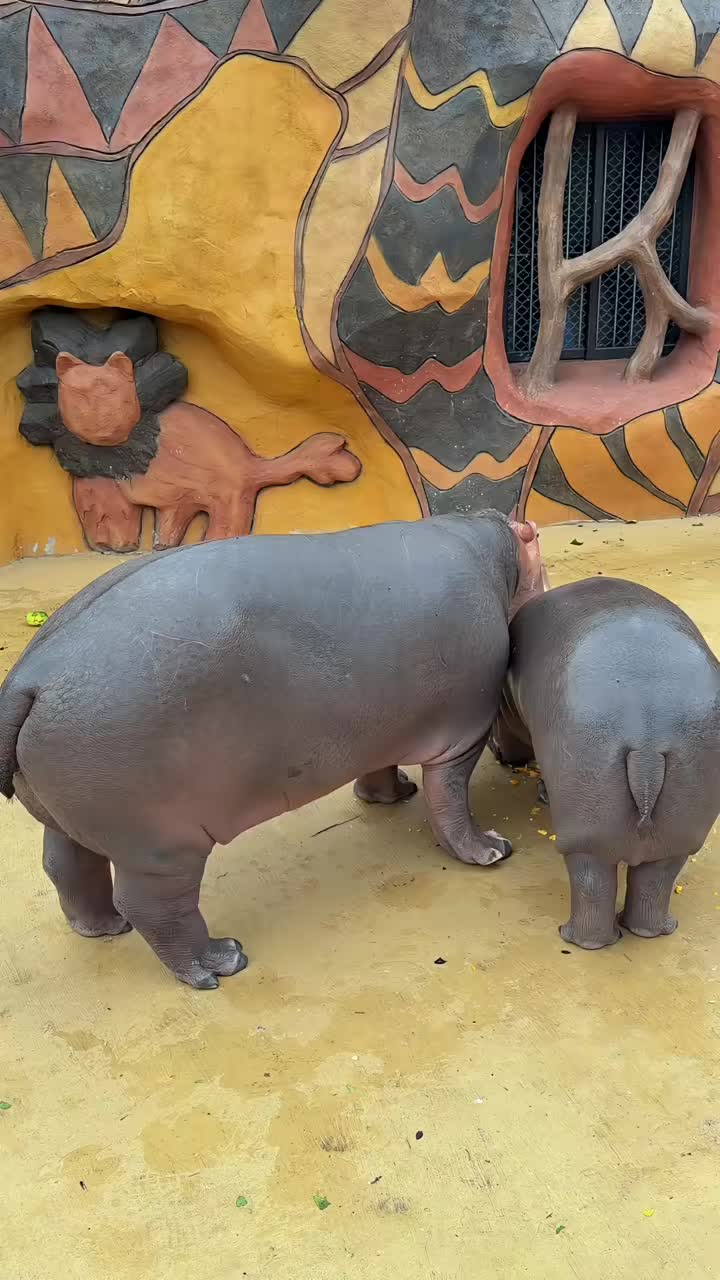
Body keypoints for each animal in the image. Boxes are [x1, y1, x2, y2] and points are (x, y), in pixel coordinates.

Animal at [0, 512, 545, 988]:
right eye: (537, 543)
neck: (495, 550)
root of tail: (30, 676)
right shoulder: (464, 734)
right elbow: (451, 803)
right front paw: (489, 850)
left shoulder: (378, 726)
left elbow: (381, 766)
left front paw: (393, 795)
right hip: (161, 848)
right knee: (154, 905)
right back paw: (222, 962)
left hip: (71, 818)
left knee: (66, 865)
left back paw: (105, 928)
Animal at [491, 577, 720, 949]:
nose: (494, 748)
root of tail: (647, 741)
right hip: (678, 825)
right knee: (656, 879)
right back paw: (653, 929)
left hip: (585, 835)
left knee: (591, 883)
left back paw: (574, 938)